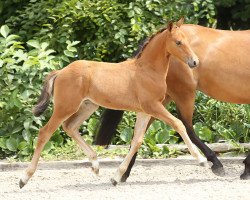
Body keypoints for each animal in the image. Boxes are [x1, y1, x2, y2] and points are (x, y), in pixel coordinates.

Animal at [19, 19, 205, 188]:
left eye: (187, 40)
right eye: (178, 42)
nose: (195, 62)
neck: (147, 70)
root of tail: (61, 71)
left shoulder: (145, 111)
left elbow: (137, 141)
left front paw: (116, 177)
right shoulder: (153, 106)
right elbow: (178, 124)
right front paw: (202, 160)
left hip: (88, 106)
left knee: (70, 127)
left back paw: (95, 165)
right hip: (65, 107)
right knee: (45, 132)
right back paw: (24, 178)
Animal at [95, 24, 250, 180]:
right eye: (179, 43)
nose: (195, 61)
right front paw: (246, 169)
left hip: (158, 101)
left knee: (142, 131)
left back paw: (123, 173)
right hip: (182, 94)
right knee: (186, 127)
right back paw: (215, 163)